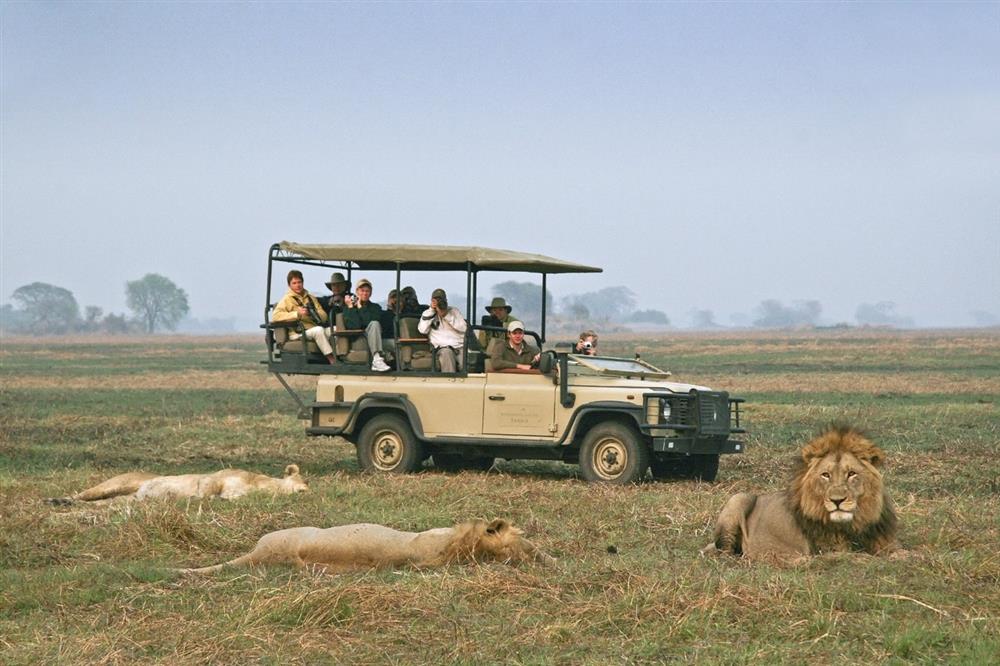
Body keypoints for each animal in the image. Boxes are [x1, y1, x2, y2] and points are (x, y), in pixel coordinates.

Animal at [704, 422, 900, 556]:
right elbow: (861, 558)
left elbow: (899, 553)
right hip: (738, 498)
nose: (837, 501)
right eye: (825, 475)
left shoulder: (886, 544)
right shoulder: (827, 550)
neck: (854, 524)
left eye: (851, 474)